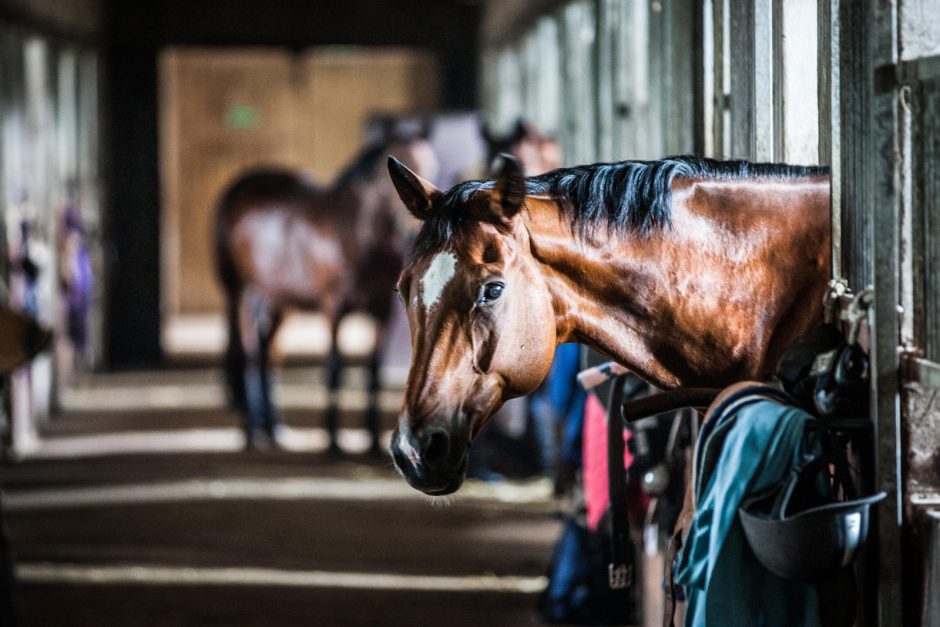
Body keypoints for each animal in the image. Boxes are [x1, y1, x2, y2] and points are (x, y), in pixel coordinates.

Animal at [215, 131, 438, 452]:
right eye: (394, 177)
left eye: (433, 165)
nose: (411, 232)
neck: (356, 234)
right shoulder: (334, 309)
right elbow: (335, 369)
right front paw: (333, 441)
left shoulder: (382, 312)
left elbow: (373, 373)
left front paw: (372, 440)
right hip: (241, 293)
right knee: (248, 353)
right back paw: (252, 432)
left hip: (280, 303)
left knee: (269, 356)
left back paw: (274, 429)